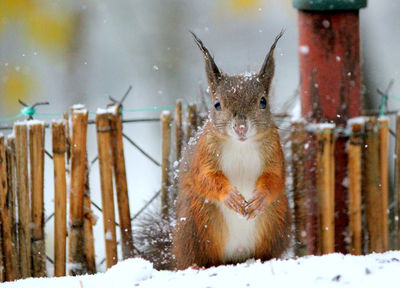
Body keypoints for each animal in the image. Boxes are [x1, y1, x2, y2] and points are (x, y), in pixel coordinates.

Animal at [172, 32, 290, 270]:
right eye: (217, 104)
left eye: (263, 102)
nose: (241, 128)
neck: (240, 145)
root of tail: (238, 256)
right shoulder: (204, 154)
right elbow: (204, 177)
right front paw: (231, 196)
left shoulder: (274, 152)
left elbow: (275, 178)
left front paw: (259, 198)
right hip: (196, 224)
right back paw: (198, 265)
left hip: (275, 221)